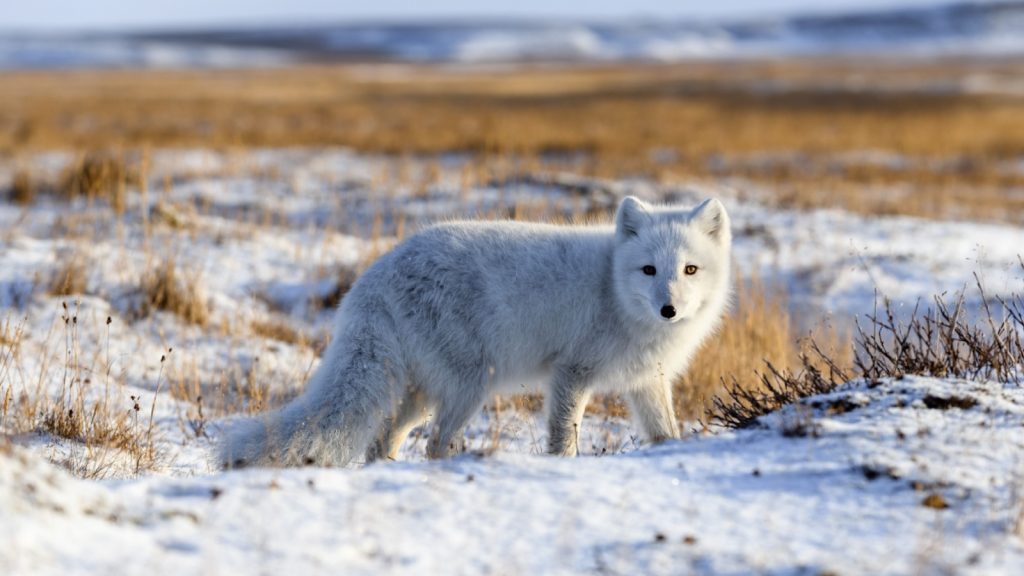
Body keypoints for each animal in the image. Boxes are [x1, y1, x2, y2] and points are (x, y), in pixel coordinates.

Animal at [222, 194, 737, 463]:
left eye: (690, 270)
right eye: (649, 270)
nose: (669, 309)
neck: (613, 290)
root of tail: (374, 276)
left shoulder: (647, 383)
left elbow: (665, 433)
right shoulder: (571, 373)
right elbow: (563, 438)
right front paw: (562, 468)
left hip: (421, 393)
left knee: (385, 441)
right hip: (469, 386)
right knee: (433, 445)